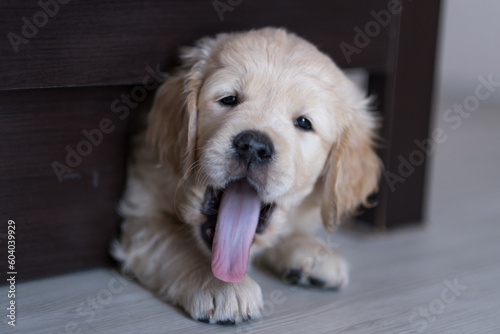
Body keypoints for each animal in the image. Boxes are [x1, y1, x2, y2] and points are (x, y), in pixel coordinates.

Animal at [112, 27, 378, 324]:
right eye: (229, 99)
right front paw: (221, 286)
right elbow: (175, 241)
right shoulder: (141, 211)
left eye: (303, 122)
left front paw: (312, 250)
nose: (254, 147)